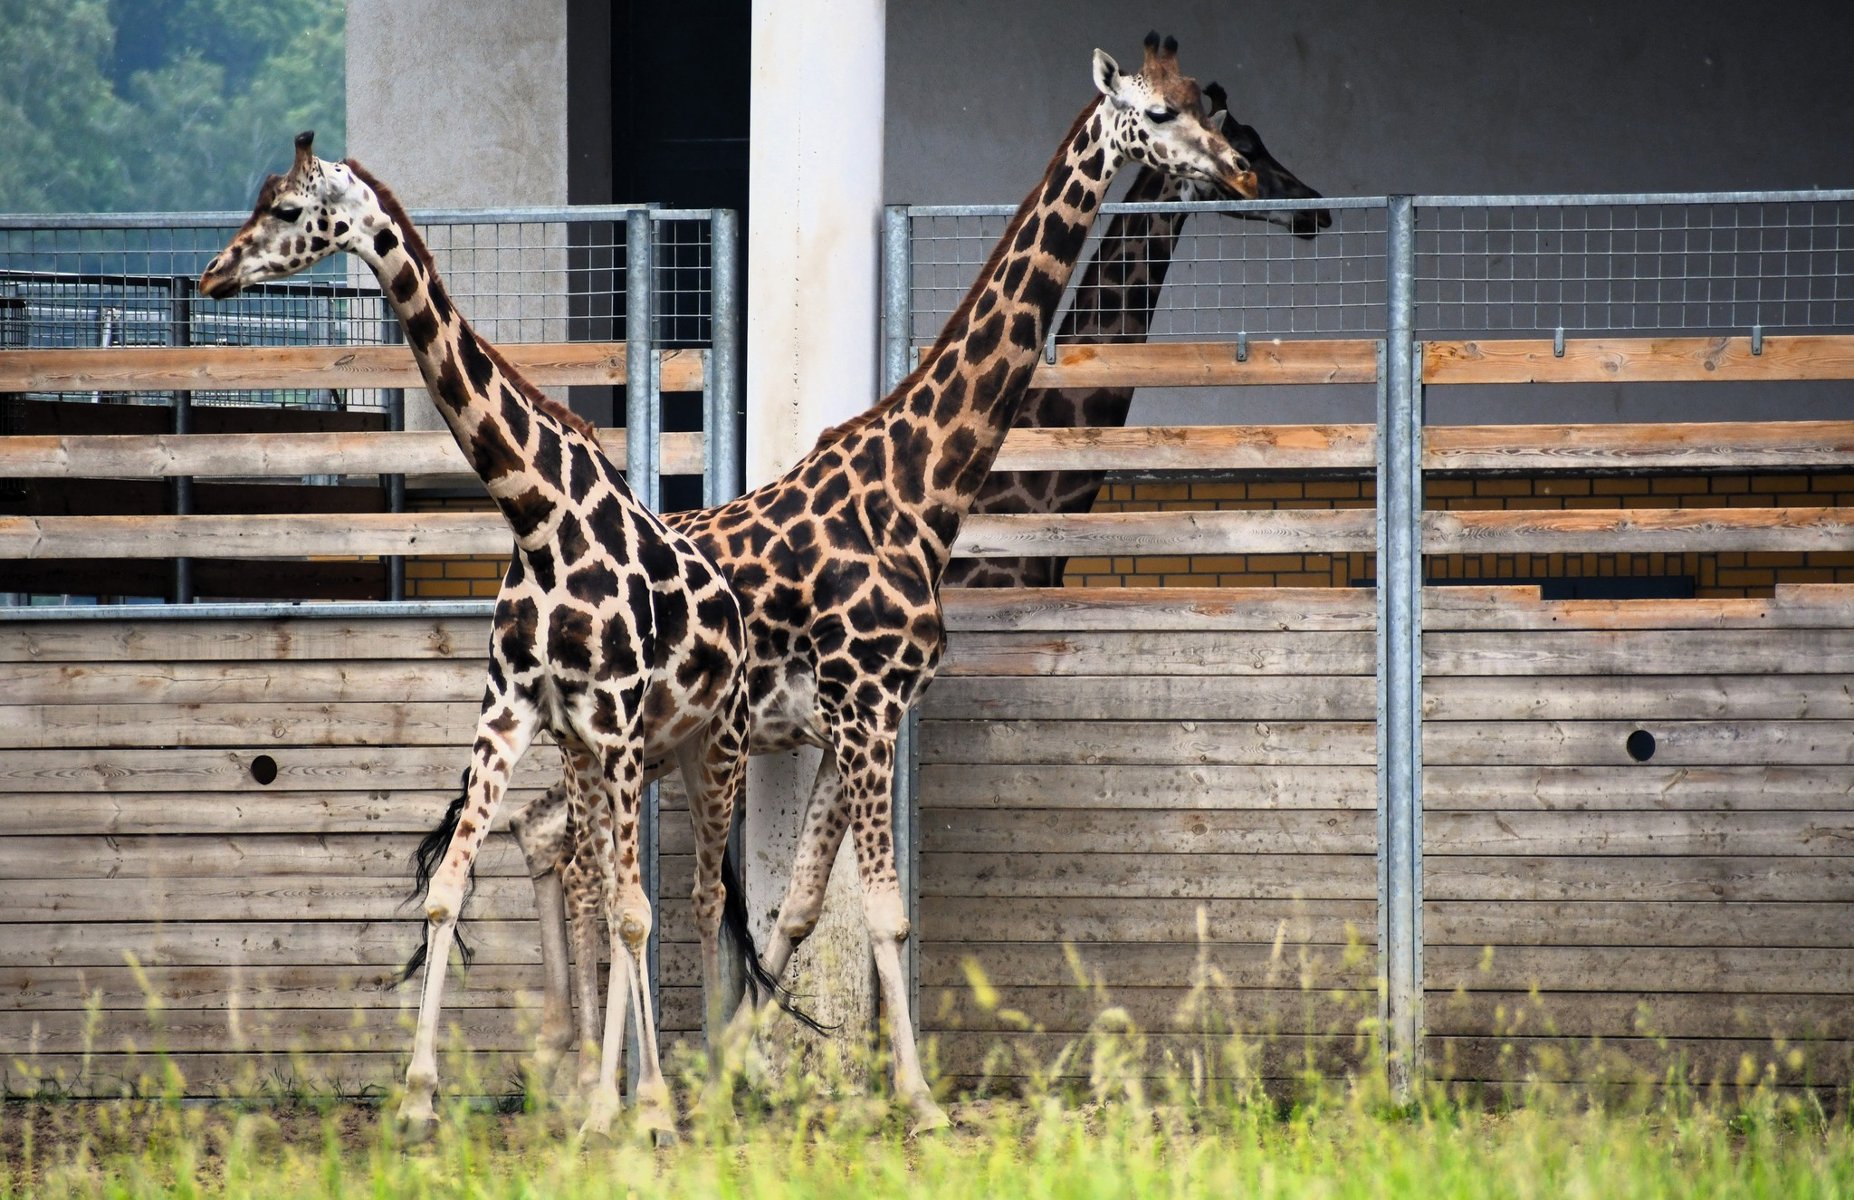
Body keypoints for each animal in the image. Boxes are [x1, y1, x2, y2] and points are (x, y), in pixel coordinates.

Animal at [197, 136, 752, 1142]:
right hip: (604, 759)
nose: (213, 273)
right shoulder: (516, 713)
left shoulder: (616, 724)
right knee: (597, 881)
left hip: (707, 745)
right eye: (259, 201)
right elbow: (453, 887)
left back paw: (686, 1097)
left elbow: (637, 912)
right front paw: (419, 1099)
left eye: (289, 211)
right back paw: (610, 1097)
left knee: (696, 896)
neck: (537, 518)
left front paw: (646, 1109)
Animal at [489, 30, 1260, 1135]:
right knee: (574, 858)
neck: (920, 482)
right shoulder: (866, 707)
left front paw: (748, 1068)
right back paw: (589, 1081)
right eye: (1157, 117)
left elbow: (803, 908)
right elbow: (885, 915)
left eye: (1205, 104)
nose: (1244, 173)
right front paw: (918, 1099)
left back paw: (582, 1076)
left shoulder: (856, 716)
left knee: (550, 838)